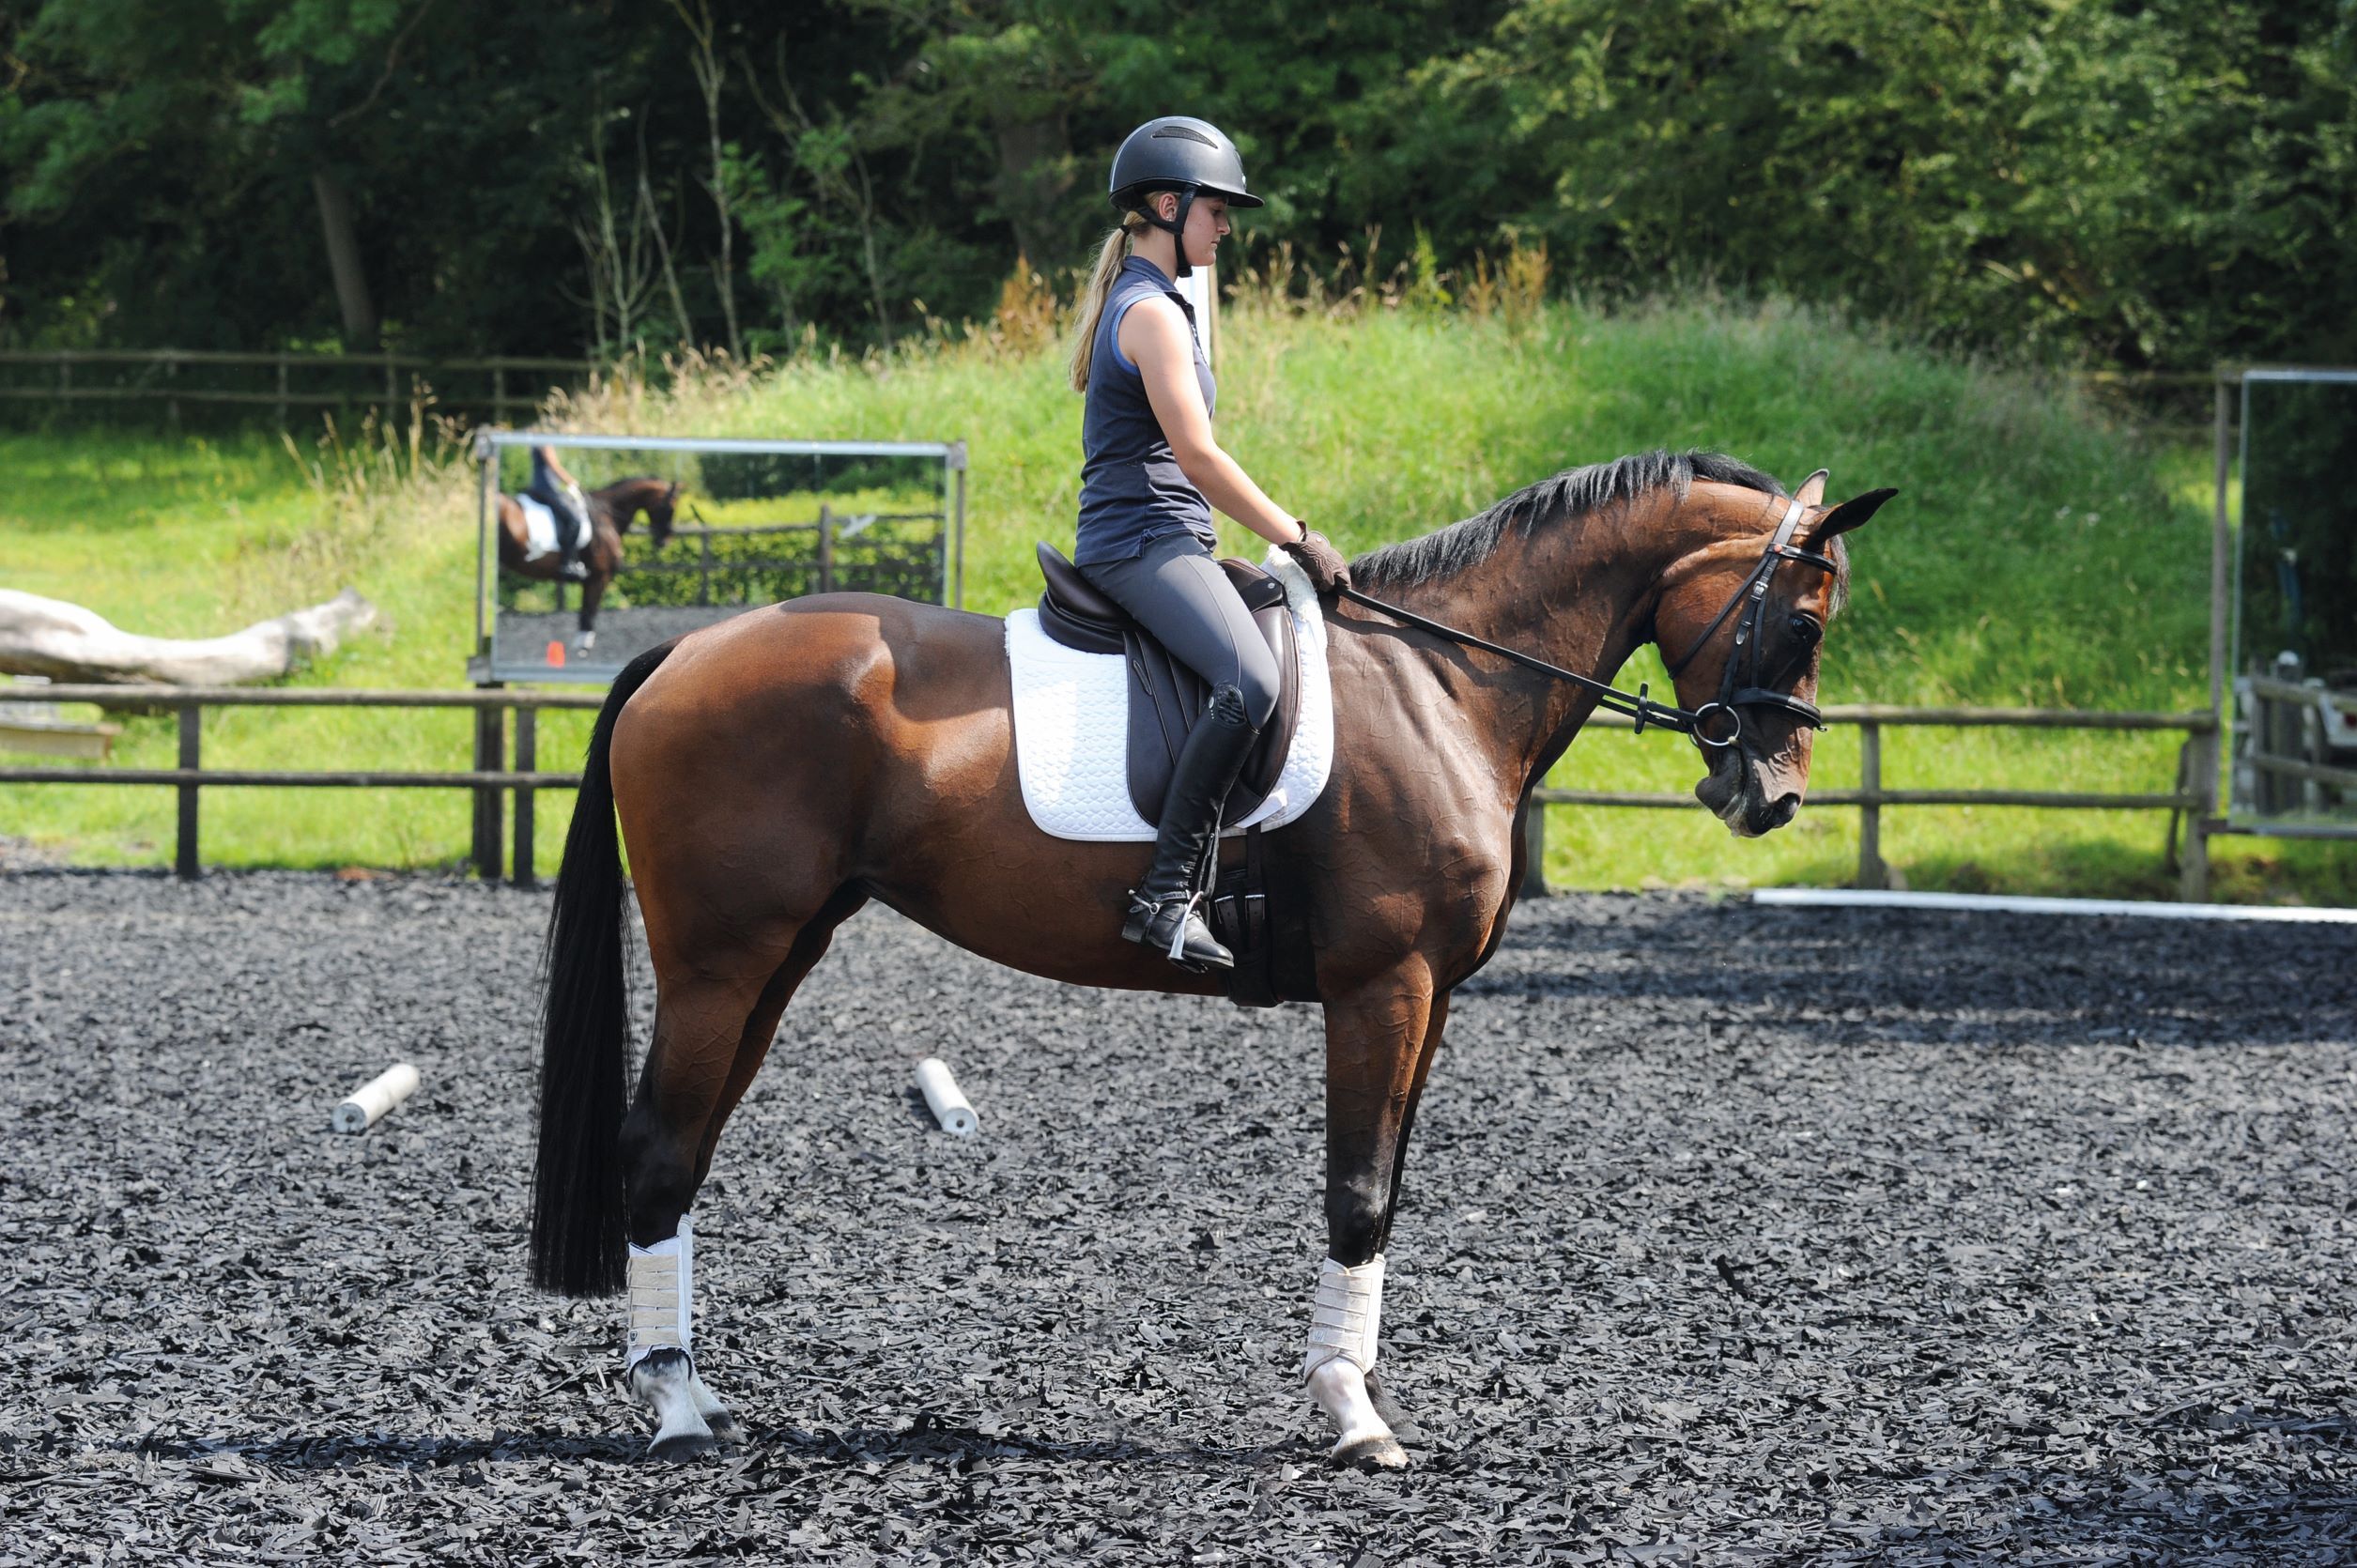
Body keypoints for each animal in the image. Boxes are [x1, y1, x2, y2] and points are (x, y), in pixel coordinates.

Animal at [493, 476, 682, 656]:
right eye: (670, 508)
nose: (664, 541)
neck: (607, 516)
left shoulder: (591, 578)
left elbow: (585, 610)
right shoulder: (599, 576)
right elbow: (589, 611)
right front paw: (583, 646)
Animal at [529, 449, 1893, 1468]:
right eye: (1801, 618)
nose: (1769, 796)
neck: (1444, 683)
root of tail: (684, 653)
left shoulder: (1430, 1000)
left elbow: (1385, 1193)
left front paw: (1357, 1394)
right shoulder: (1381, 986)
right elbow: (1355, 1190)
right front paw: (1351, 1415)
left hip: (777, 957)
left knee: (687, 1150)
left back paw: (689, 1387)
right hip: (721, 961)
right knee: (657, 1149)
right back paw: (677, 1408)